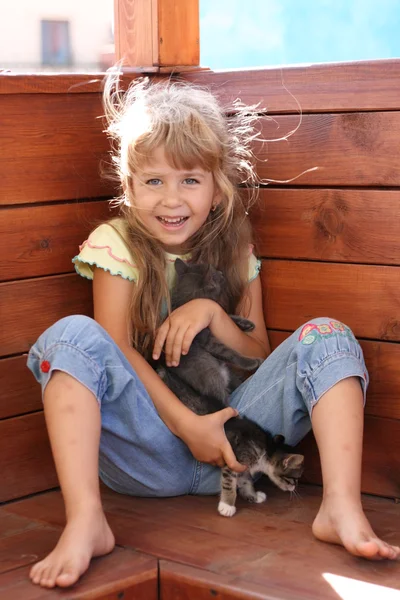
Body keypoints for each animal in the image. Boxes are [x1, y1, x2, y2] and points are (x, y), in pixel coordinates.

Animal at [156, 258, 304, 516]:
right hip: (215, 379)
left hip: (229, 377)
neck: (185, 298)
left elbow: (223, 312)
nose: (221, 271)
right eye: (216, 272)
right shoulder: (207, 339)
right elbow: (230, 352)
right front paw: (252, 361)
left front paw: (244, 322)